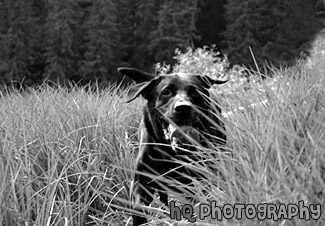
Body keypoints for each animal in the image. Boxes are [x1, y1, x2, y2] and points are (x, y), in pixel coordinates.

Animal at [116, 67, 225, 226]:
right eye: (166, 92)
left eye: (195, 92)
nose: (183, 108)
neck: (171, 152)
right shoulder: (141, 182)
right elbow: (139, 209)